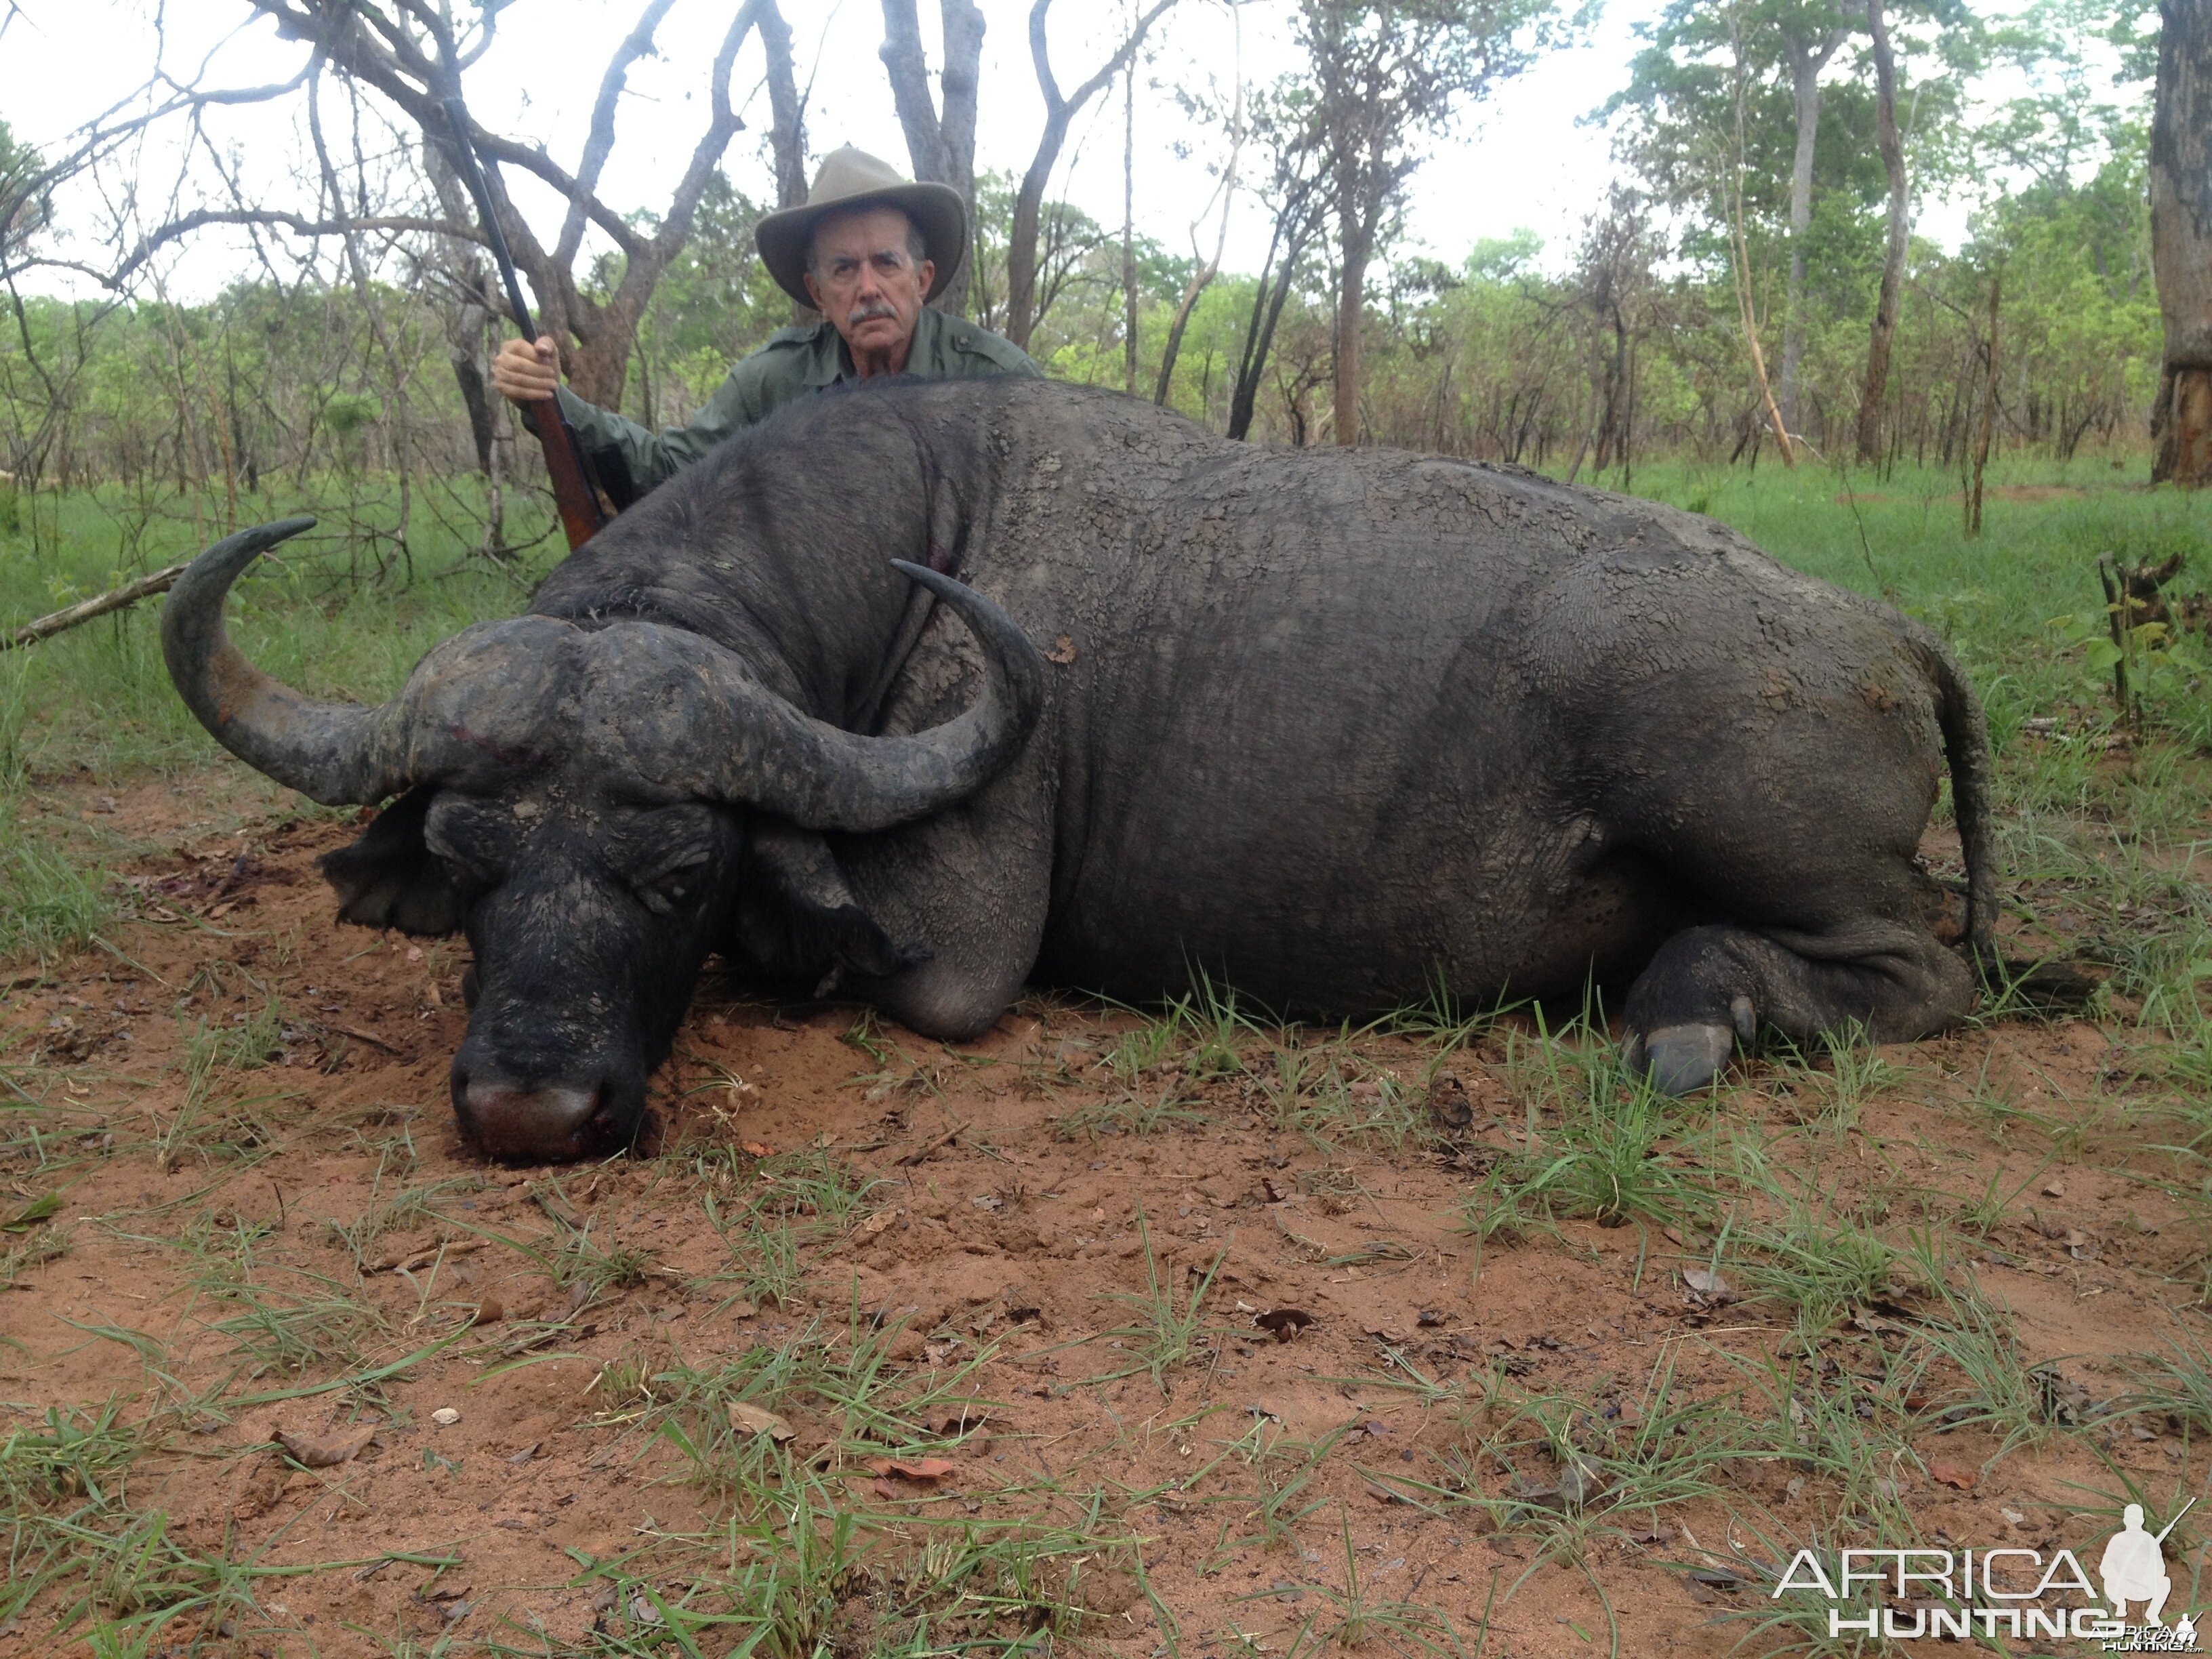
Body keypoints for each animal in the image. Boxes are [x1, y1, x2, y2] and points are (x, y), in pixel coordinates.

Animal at [156, 375, 1999, 1159]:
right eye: (473, 862)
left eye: (679, 872)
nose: (531, 1108)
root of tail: (1881, 630)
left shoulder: (956, 962)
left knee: (1917, 974)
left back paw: (1687, 1011)